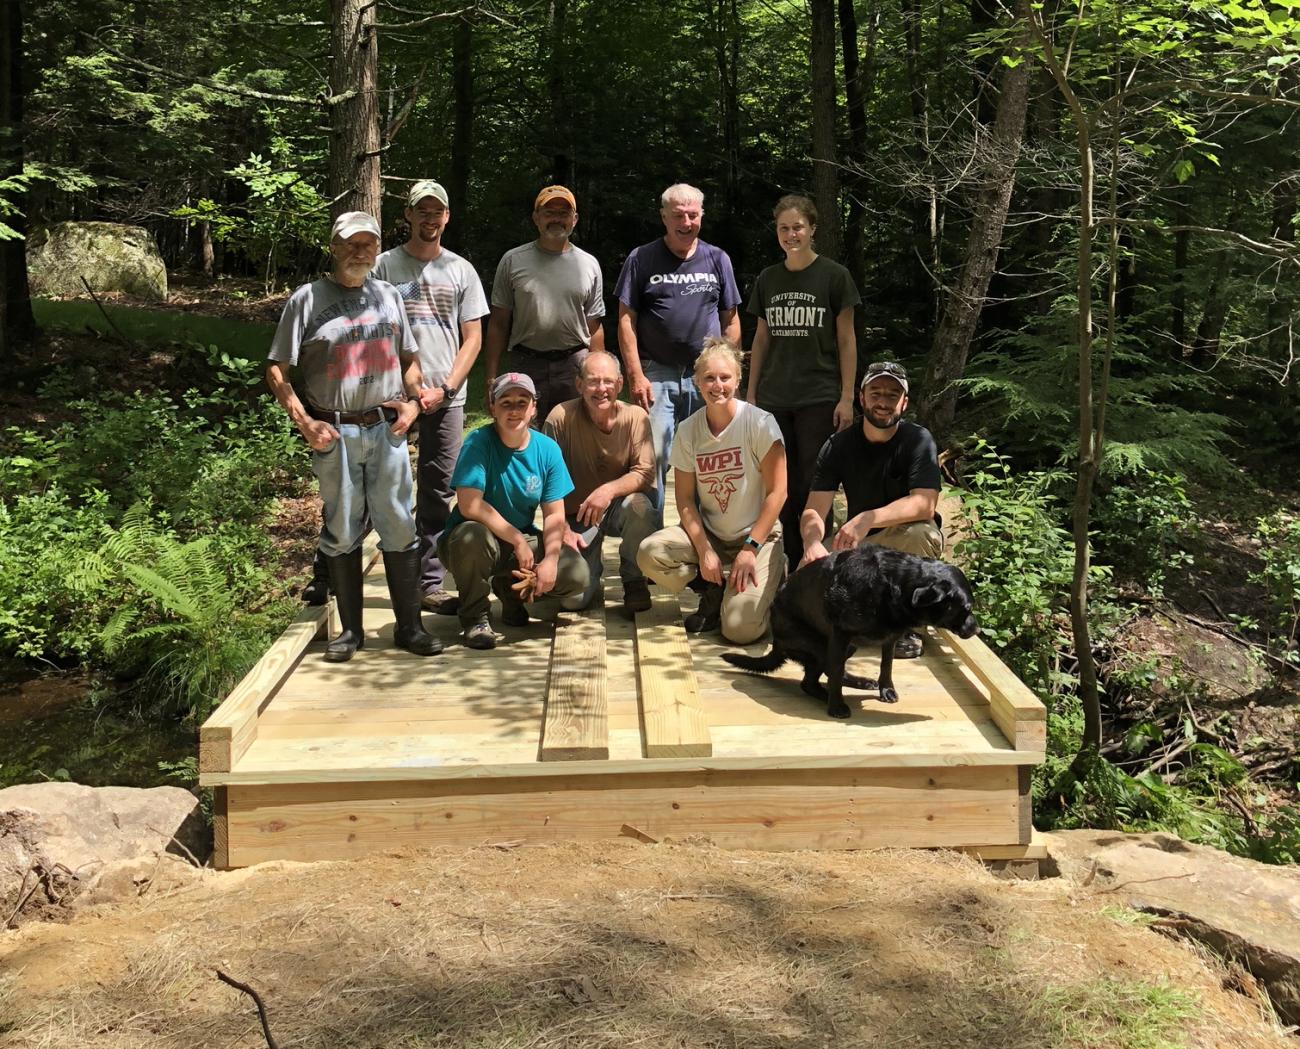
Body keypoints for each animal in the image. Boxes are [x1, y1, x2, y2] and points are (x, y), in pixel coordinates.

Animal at [722, 540, 977, 722]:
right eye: (966, 608)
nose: (976, 629)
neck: (893, 584)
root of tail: (776, 643)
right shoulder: (839, 635)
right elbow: (835, 673)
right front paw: (836, 706)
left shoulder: (890, 637)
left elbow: (886, 666)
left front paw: (886, 689)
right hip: (819, 645)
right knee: (814, 679)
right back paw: (829, 695)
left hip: (849, 647)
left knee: (827, 673)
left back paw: (861, 683)